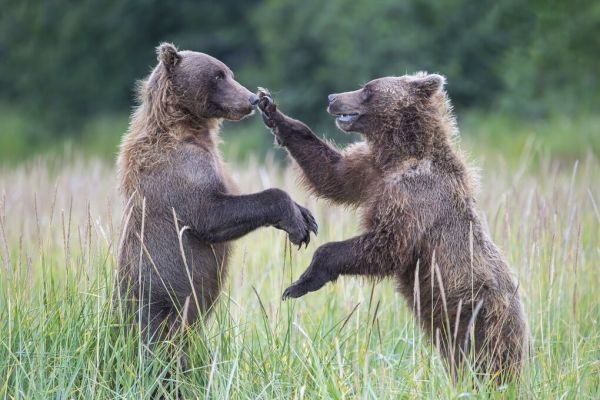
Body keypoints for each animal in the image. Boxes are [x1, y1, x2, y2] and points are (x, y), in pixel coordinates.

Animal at [255, 73, 528, 382]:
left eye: (367, 89)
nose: (332, 97)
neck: (399, 153)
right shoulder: (371, 170)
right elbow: (331, 174)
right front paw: (272, 111)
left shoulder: (413, 197)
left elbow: (386, 245)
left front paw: (301, 282)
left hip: (479, 315)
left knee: (488, 363)